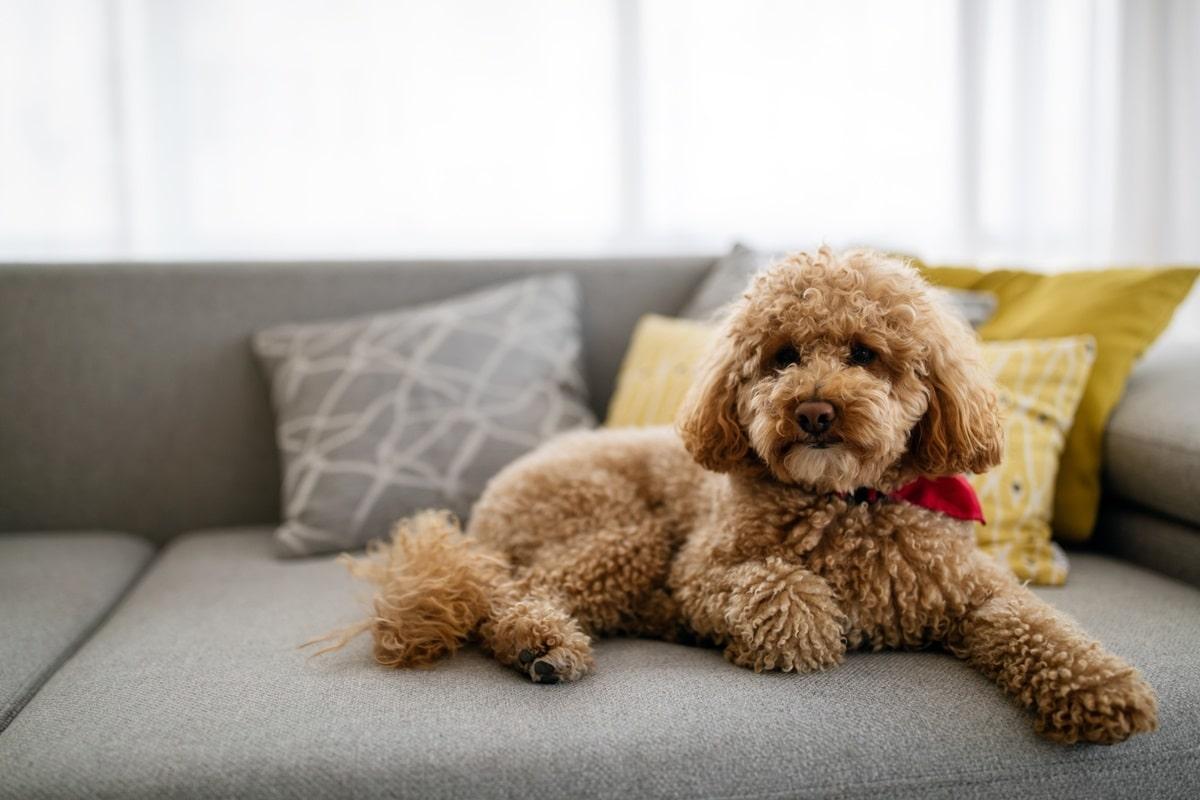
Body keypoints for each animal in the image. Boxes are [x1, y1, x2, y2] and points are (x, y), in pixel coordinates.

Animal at [314, 248, 1156, 743]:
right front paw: (807, 630)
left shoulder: (973, 592)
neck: (846, 503)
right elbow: (779, 587)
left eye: (865, 353)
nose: (812, 410)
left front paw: (1103, 689)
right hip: (622, 532)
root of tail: (491, 498)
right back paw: (543, 645)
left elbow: (1038, 625)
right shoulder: (705, 567)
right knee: (512, 597)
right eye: (782, 356)